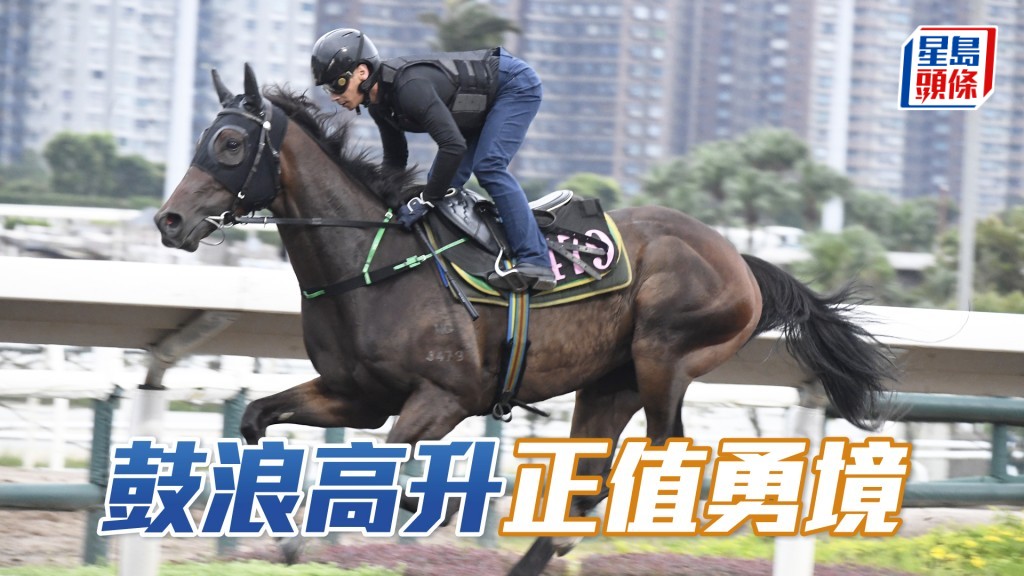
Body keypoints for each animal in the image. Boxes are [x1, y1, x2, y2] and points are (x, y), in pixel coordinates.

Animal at [155, 65, 895, 575]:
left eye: (228, 142)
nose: (169, 220)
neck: (373, 263)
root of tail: (740, 260)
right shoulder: (355, 396)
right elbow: (257, 420)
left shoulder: (448, 396)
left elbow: (391, 461)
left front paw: (426, 507)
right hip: (609, 383)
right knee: (594, 475)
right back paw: (538, 553)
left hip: (665, 356)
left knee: (666, 456)